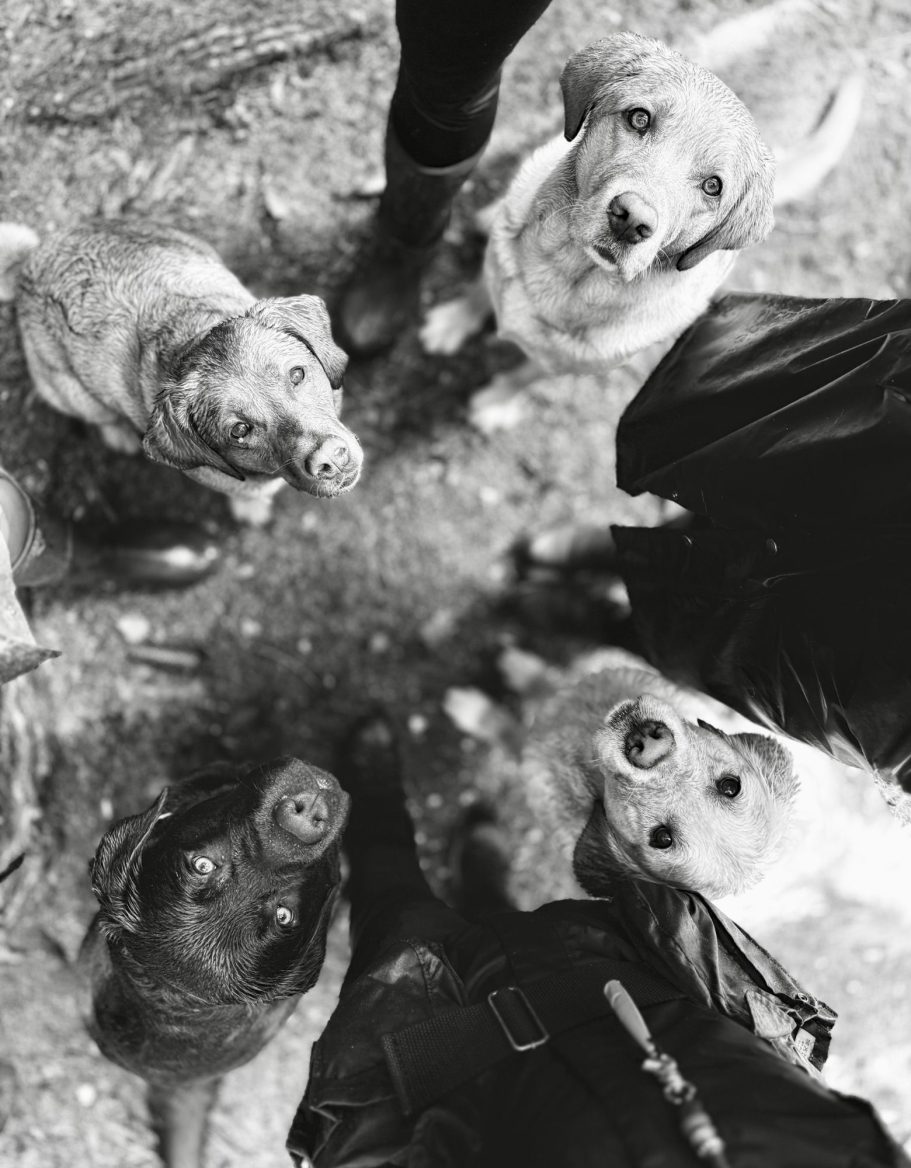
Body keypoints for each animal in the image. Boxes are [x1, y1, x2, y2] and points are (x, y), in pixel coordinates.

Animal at [0, 220, 363, 524]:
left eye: (297, 375)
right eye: (239, 431)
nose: (330, 459)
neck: (193, 330)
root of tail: (30, 259)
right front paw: (252, 510)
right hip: (71, 392)